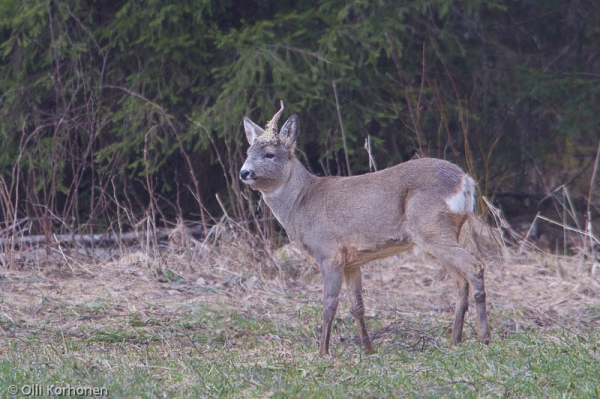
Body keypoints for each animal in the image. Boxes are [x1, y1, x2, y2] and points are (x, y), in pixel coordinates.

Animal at [240, 101, 492, 358]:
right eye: (248, 153)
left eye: (269, 154)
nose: (244, 172)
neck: (301, 202)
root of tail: (466, 181)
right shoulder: (352, 262)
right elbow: (357, 307)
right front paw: (369, 350)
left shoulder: (329, 254)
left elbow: (329, 305)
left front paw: (322, 353)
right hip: (439, 233)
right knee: (460, 282)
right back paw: (455, 341)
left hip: (432, 227)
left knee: (474, 266)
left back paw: (484, 337)